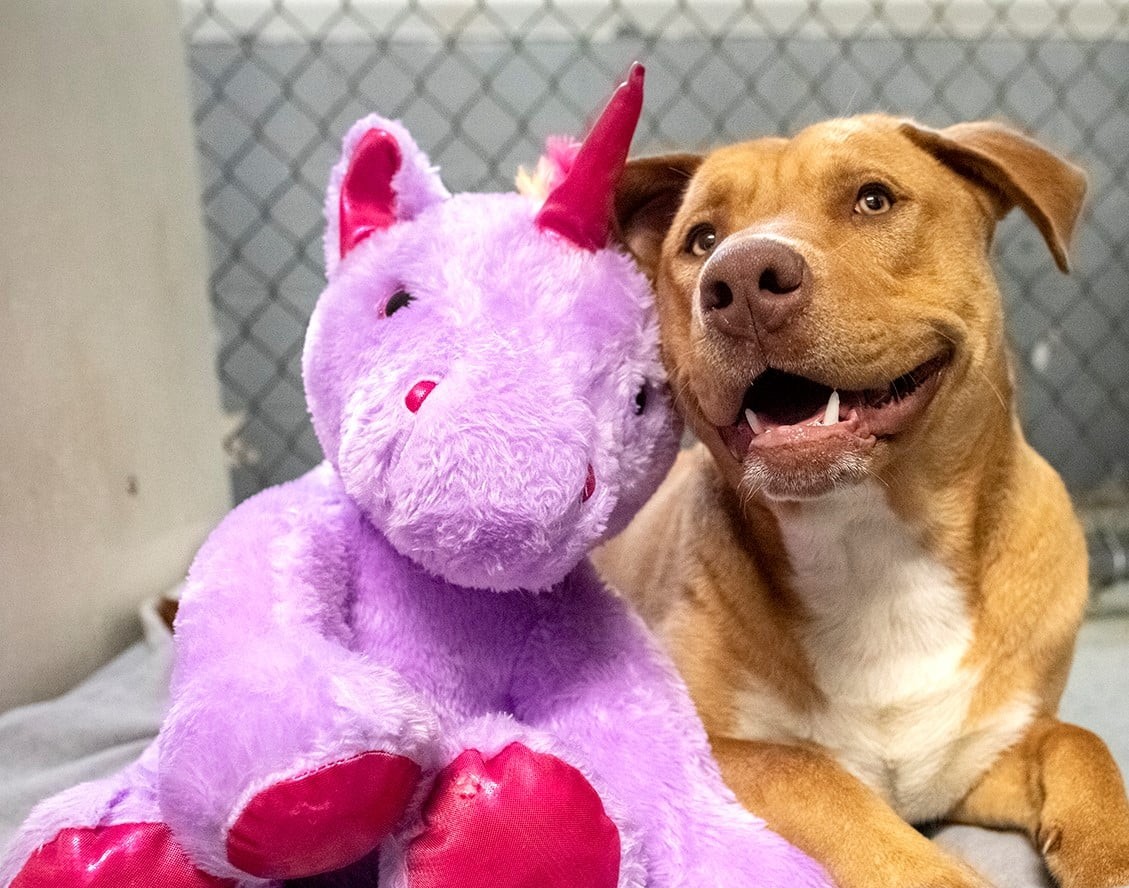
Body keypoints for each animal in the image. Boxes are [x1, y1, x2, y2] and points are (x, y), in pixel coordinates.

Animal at [600, 114, 1129, 884]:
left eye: (873, 200)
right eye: (700, 239)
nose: (740, 278)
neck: (873, 553)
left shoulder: (978, 762)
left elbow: (1079, 744)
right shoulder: (702, 752)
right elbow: (808, 776)